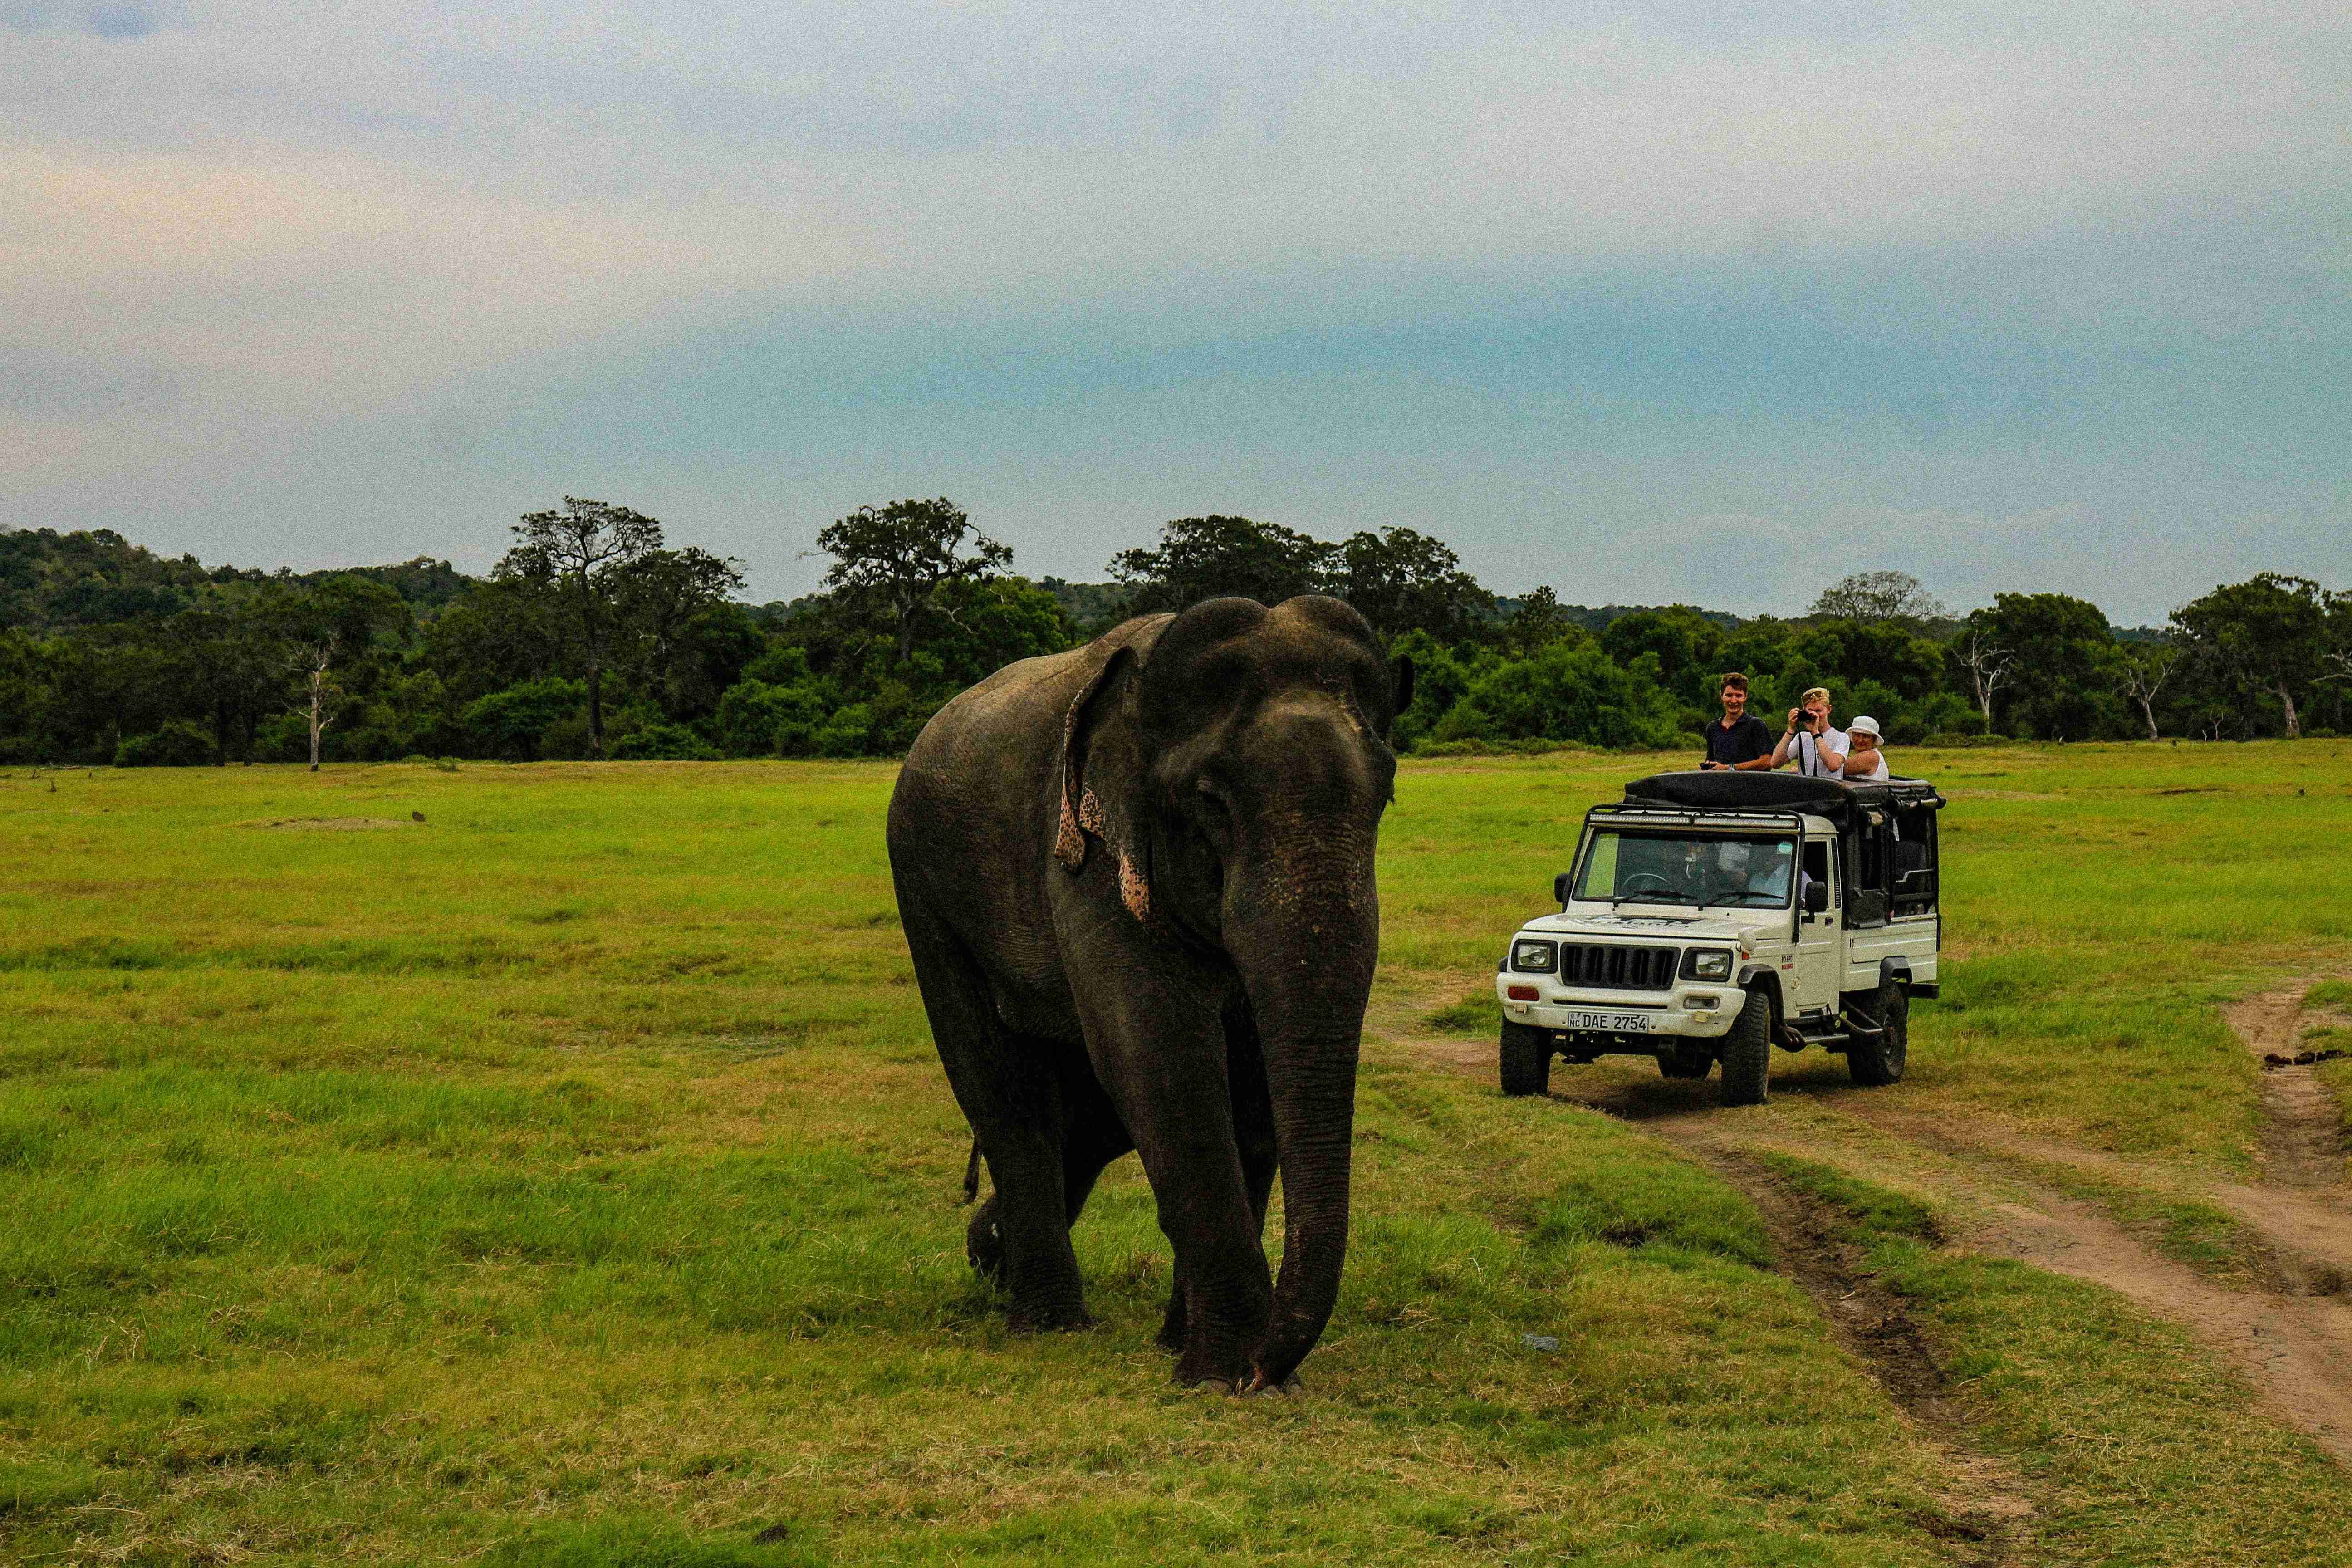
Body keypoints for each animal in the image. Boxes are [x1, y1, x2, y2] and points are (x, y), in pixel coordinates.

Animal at [886, 595, 1412, 1390]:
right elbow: (1158, 1053)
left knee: (1084, 1116)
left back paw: (992, 1259)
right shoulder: (1088, 857)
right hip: (924, 890)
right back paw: (1047, 1320)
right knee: (1004, 1090)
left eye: (1385, 796)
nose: (1270, 1369)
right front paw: (1224, 1375)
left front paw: (1199, 1354)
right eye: (1211, 801)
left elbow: (1247, 1081)